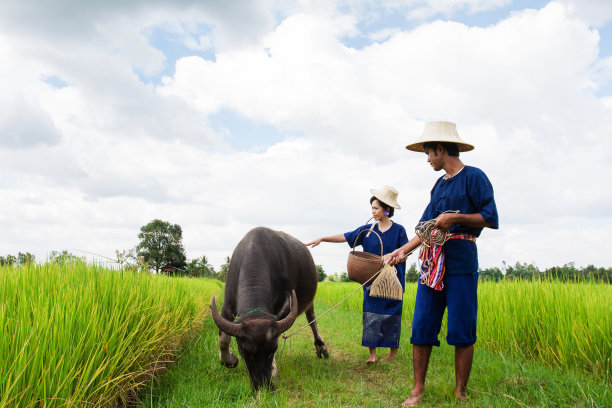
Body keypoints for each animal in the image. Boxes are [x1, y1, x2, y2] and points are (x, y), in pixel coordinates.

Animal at [212, 226, 330, 388]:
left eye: (273, 349)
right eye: (246, 351)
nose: (263, 385)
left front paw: (273, 371)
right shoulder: (227, 306)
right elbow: (223, 339)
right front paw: (230, 360)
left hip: (309, 301)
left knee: (312, 319)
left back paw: (321, 347)